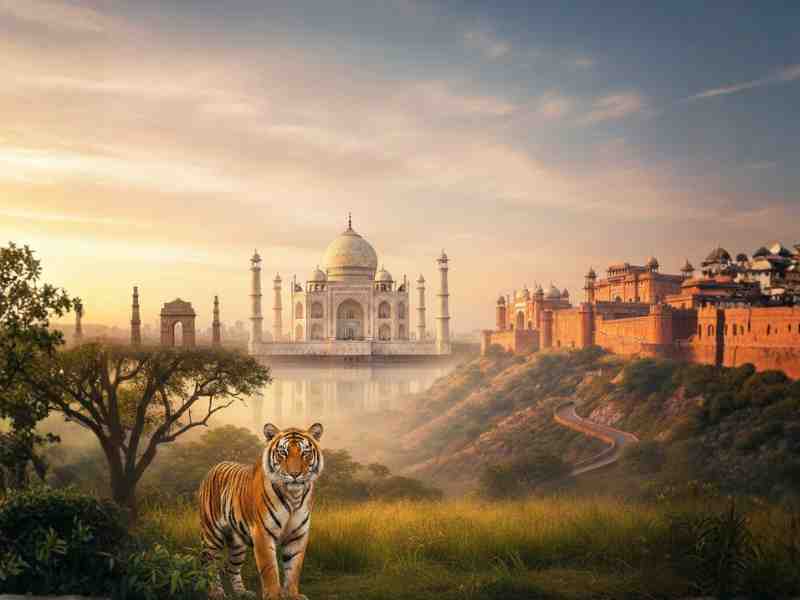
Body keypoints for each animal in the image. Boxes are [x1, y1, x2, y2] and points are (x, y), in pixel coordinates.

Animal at [198, 422, 324, 600]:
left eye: (305, 453)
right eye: (283, 453)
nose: (295, 474)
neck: (294, 496)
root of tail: (215, 466)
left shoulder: (298, 534)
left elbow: (294, 568)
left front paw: (292, 595)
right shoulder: (263, 533)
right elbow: (269, 569)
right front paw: (273, 595)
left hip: (237, 542)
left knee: (231, 566)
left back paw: (242, 592)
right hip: (212, 534)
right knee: (210, 563)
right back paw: (216, 592)